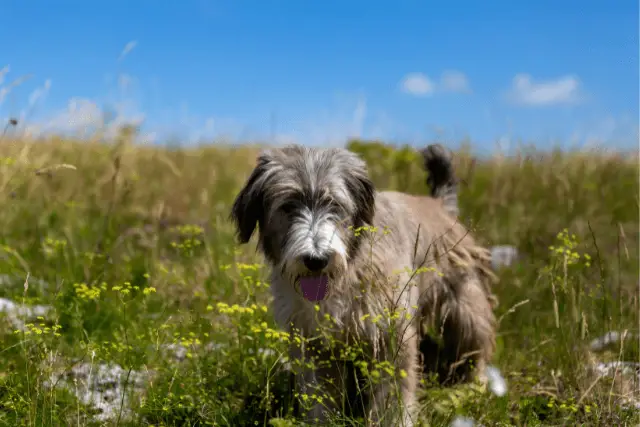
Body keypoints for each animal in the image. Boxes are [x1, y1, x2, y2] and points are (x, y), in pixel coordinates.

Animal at [228, 143, 498, 424]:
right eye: (288, 206)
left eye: (334, 204)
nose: (317, 259)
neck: (348, 271)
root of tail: (440, 206)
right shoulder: (315, 345)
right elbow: (320, 398)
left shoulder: (392, 337)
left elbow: (394, 395)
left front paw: (395, 421)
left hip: (467, 308)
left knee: (476, 349)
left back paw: (474, 388)